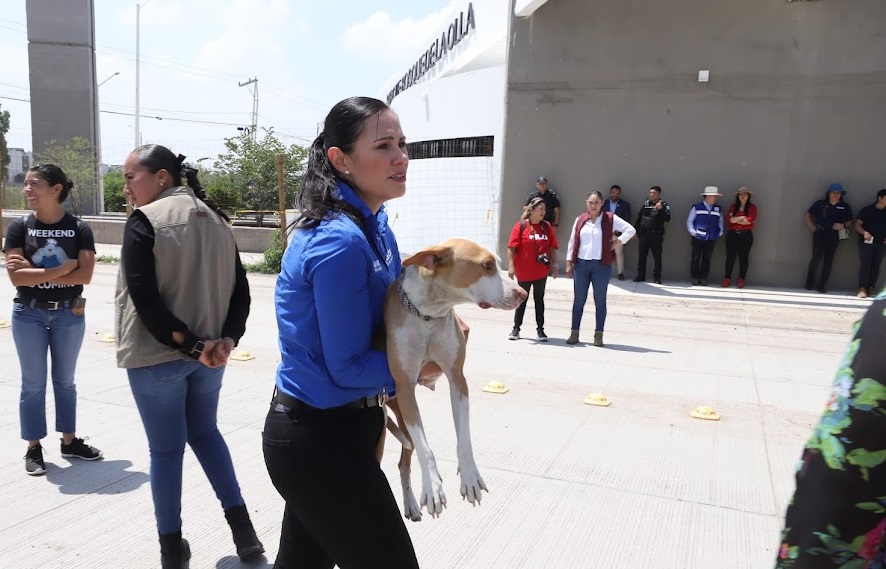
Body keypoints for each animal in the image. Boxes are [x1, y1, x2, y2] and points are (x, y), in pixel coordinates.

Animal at [380, 237, 528, 520]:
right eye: (486, 265)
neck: (428, 314)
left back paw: (410, 504)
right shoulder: (405, 388)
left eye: (499, 263)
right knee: (407, 454)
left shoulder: (457, 378)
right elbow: (425, 448)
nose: (523, 294)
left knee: (404, 461)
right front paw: (432, 488)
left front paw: (470, 477)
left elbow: (464, 437)